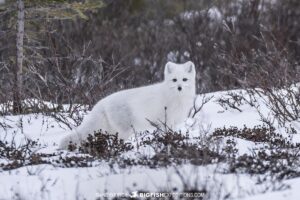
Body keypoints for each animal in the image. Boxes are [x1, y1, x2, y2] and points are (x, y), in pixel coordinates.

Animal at [58, 61, 196, 148]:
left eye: (184, 79)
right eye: (174, 80)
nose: (179, 87)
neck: (177, 98)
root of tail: (102, 102)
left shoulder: (173, 123)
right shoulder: (165, 122)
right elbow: (166, 136)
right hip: (125, 130)